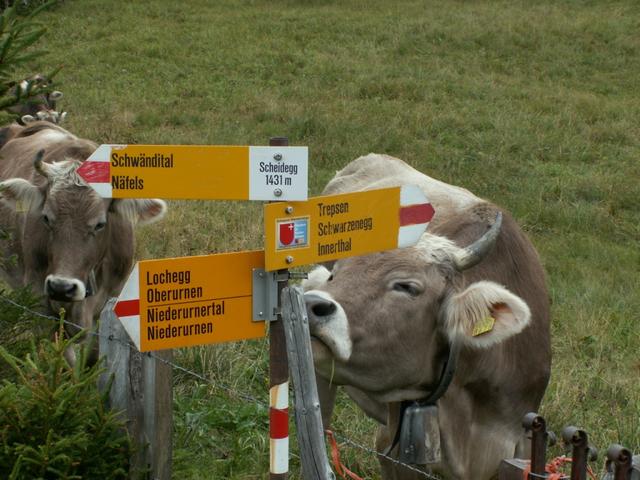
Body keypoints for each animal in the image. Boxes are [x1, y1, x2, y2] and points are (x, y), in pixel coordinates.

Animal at [0, 122, 165, 362]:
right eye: (46, 218)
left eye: (100, 224)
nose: (61, 287)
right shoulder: (39, 301)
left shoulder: (110, 301)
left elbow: (92, 357)